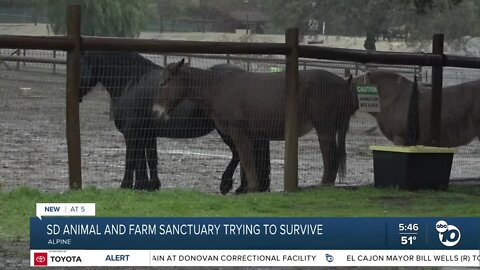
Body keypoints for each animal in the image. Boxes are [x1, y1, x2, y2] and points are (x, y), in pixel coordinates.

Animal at [80, 50, 272, 193]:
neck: (132, 82)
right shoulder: (146, 133)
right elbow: (149, 160)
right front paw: (148, 186)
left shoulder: (132, 133)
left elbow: (131, 159)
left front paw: (126, 185)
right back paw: (243, 188)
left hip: (227, 129)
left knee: (239, 153)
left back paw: (228, 185)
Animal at [154, 59, 356, 192]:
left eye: (164, 82)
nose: (156, 112)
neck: (219, 86)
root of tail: (344, 82)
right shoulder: (249, 134)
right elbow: (248, 160)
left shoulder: (237, 131)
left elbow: (246, 159)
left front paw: (250, 187)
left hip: (324, 126)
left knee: (329, 155)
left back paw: (324, 185)